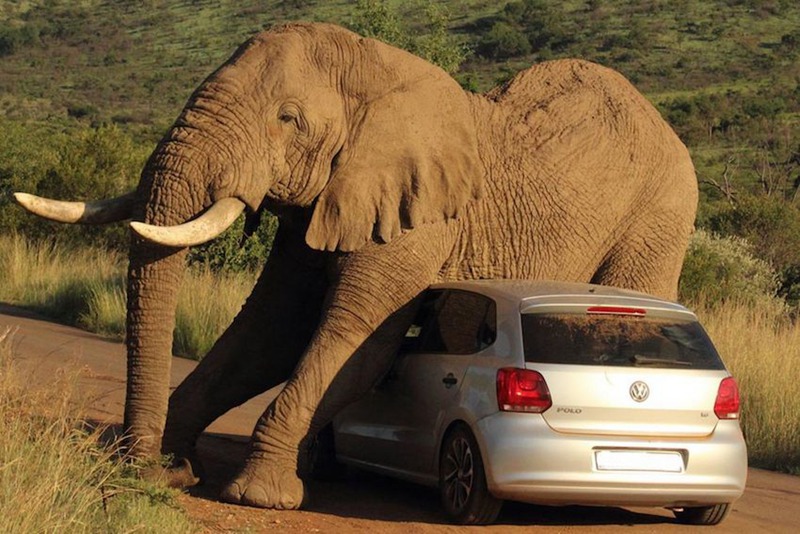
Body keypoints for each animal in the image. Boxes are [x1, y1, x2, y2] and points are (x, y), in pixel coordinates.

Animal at [14, 22, 697, 509]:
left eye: (287, 119)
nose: (136, 473)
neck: (373, 67)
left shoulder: (418, 222)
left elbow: (355, 345)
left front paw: (259, 496)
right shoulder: (325, 201)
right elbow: (270, 334)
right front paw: (177, 469)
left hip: (658, 217)